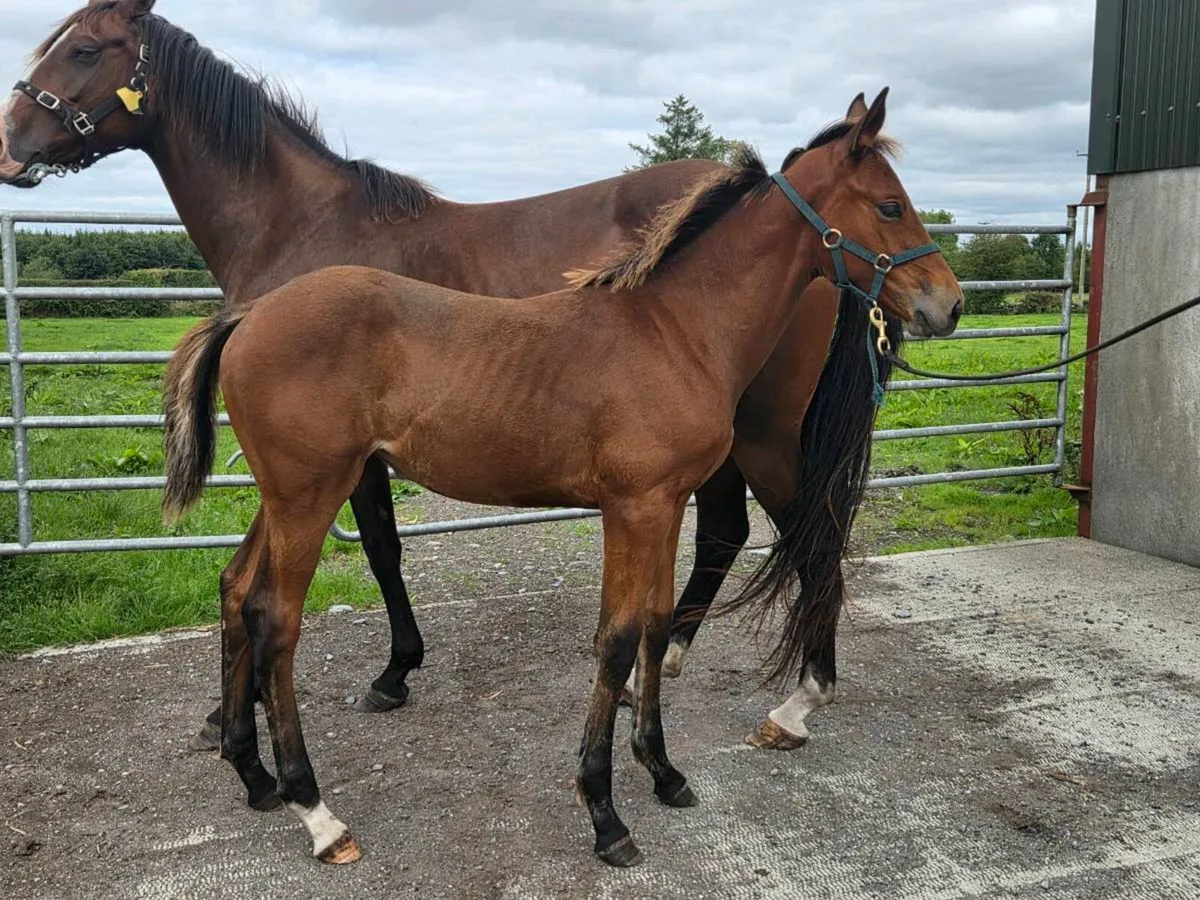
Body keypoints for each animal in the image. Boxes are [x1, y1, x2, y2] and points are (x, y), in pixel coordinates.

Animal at [2, 0, 927, 754]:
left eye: (82, 48)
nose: (11, 146)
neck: (302, 222)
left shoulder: (355, 458)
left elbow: (381, 549)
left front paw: (391, 674)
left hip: (766, 432)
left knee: (808, 536)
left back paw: (798, 699)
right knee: (731, 533)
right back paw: (667, 670)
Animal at [159, 89, 963, 866]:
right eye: (889, 205)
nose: (948, 304)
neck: (677, 329)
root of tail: (252, 314)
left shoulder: (664, 505)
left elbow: (653, 625)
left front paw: (663, 772)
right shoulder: (632, 508)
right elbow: (617, 639)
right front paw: (605, 814)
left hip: (289, 495)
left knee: (237, 589)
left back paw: (255, 776)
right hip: (309, 495)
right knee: (274, 620)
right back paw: (317, 813)